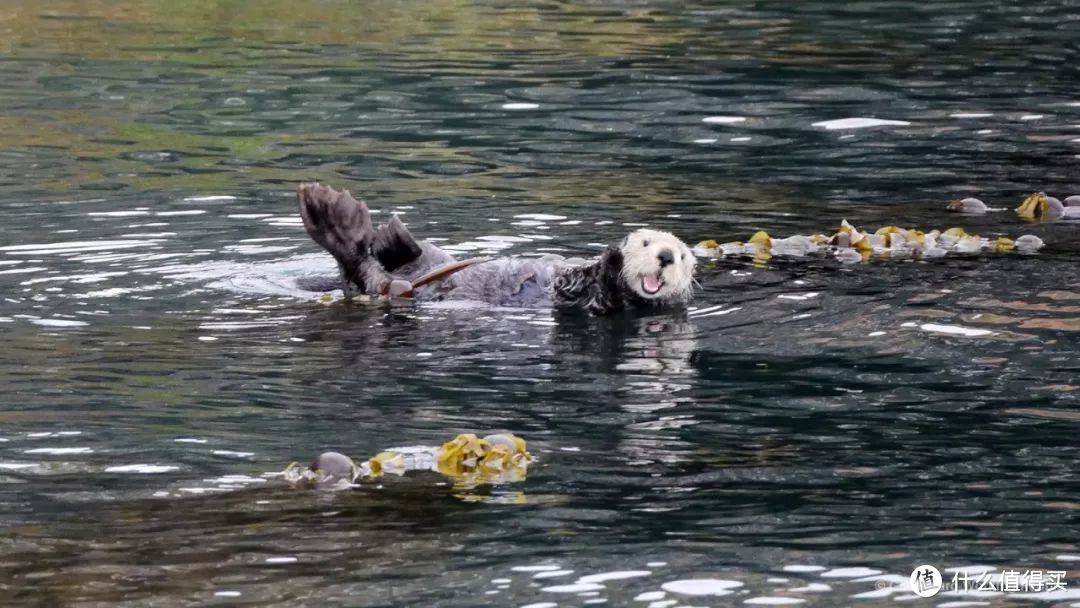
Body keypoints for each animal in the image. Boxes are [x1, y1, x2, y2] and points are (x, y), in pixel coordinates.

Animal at [298, 180, 699, 313]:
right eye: (646, 242)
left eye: (681, 256)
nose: (665, 256)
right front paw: (611, 254)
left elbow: (593, 295)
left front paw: (611, 262)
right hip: (431, 259)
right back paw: (391, 235)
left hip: (389, 287)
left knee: (362, 272)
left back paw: (330, 214)